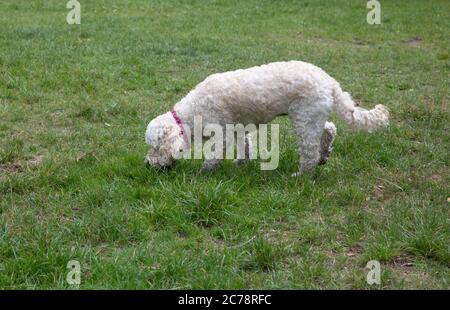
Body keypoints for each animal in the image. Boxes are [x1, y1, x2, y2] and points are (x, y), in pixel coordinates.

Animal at [146, 60, 388, 174]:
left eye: (154, 147)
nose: (147, 165)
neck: (190, 113)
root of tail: (329, 80)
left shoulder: (221, 132)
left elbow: (213, 155)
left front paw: (203, 173)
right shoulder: (237, 128)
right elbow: (244, 146)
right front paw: (241, 162)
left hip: (304, 118)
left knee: (309, 152)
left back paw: (303, 175)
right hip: (313, 115)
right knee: (329, 129)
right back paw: (324, 156)